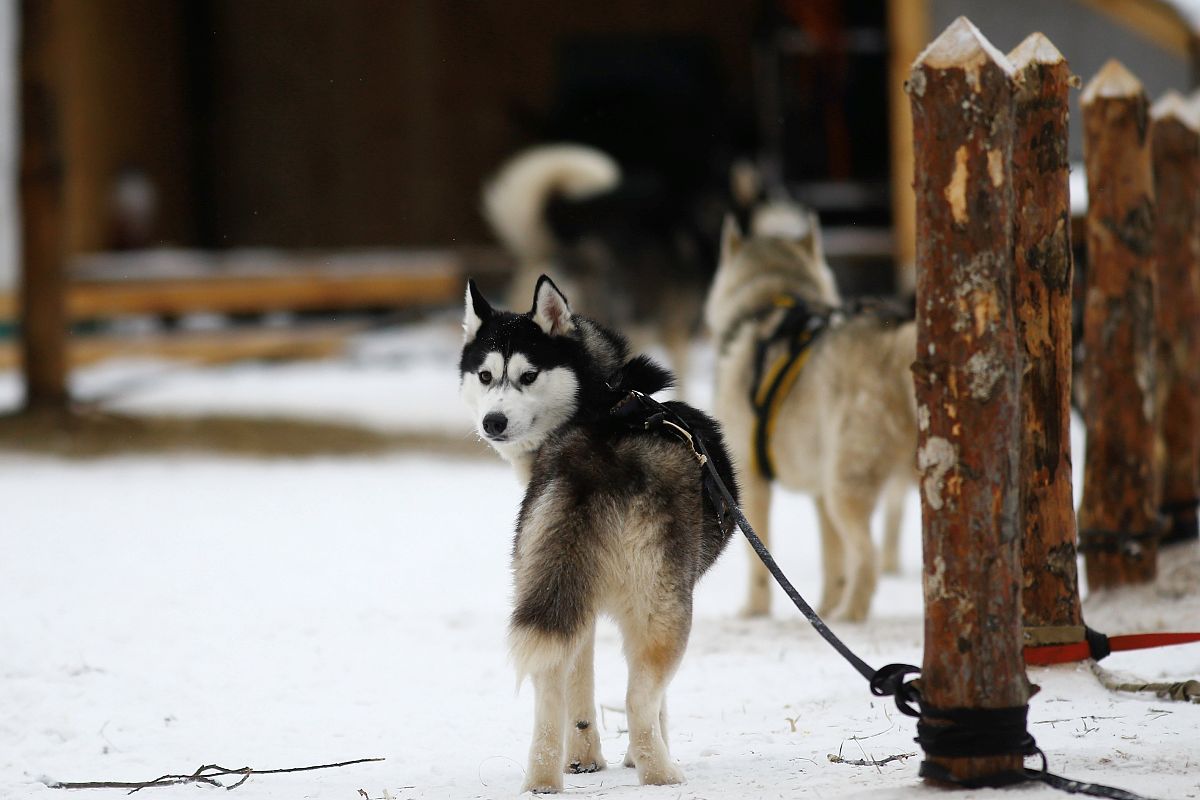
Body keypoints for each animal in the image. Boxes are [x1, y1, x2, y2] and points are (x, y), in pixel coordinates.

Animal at [460, 273, 734, 786]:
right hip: (665, 609)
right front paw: (629, 759)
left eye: (528, 376)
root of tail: (589, 461)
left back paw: (544, 780)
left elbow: (578, 689)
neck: (602, 401)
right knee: (639, 700)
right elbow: (655, 705)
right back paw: (660, 772)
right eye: (485, 376)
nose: (493, 421)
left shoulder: (574, 605)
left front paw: (583, 759)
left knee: (548, 693)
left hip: (543, 586)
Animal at [700, 214, 916, 623]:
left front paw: (755, 610)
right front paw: (824, 606)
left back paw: (850, 614)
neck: (772, 299)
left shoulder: (752, 482)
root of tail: (895, 341)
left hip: (844, 487)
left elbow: (759, 559)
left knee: (869, 557)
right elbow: (833, 564)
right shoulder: (817, 494)